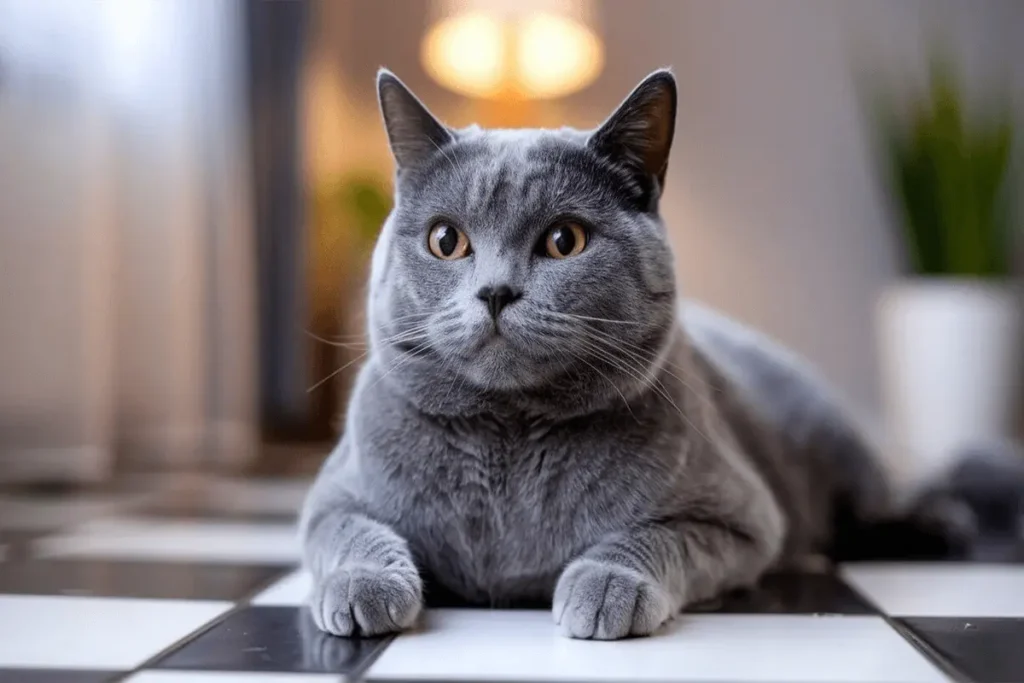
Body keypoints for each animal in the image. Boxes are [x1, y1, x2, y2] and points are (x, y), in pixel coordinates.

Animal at [301, 68, 991, 643]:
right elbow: (349, 530)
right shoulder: (330, 497)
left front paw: (606, 587)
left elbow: (654, 536)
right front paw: (365, 586)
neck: (510, 439)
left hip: (833, 444)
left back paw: (943, 525)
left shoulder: (742, 521)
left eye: (565, 240)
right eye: (446, 240)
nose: (495, 292)